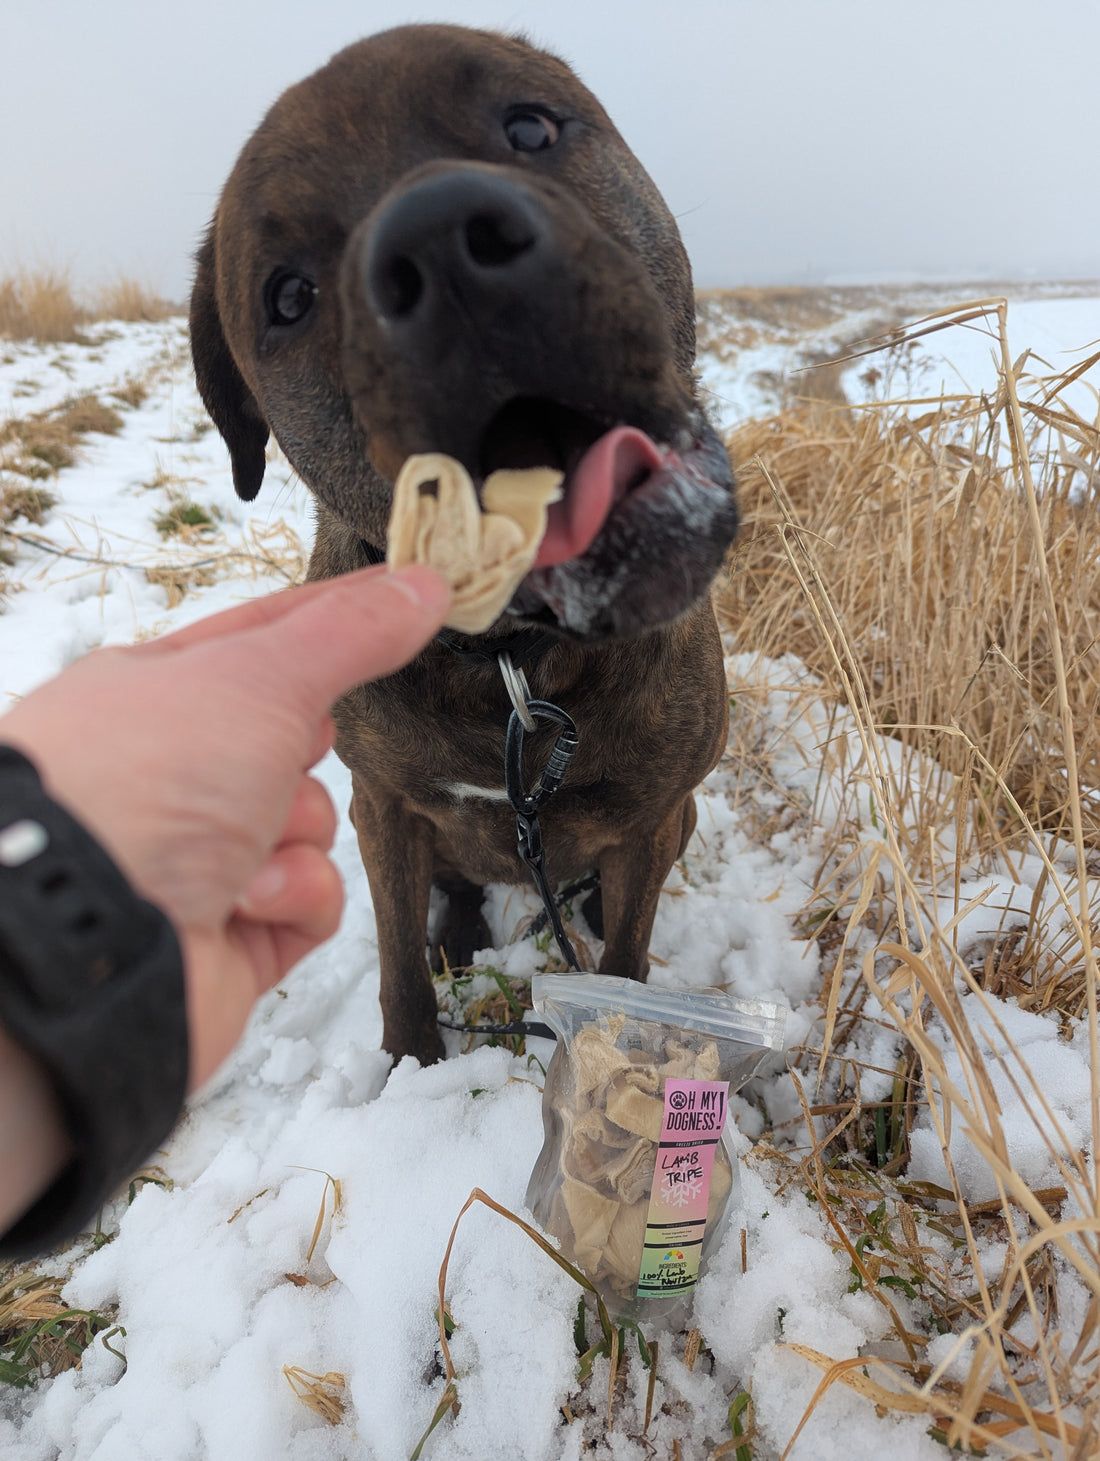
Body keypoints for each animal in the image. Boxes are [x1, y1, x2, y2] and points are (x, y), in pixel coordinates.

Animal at [188, 19, 739, 1063]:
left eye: (529, 126)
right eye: (289, 297)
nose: (439, 243)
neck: (511, 665)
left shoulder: (657, 812)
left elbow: (626, 960)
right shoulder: (381, 807)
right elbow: (397, 968)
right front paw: (412, 1063)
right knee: (450, 895)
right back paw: (460, 932)